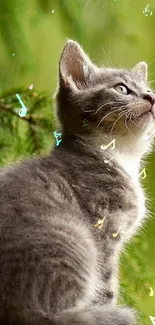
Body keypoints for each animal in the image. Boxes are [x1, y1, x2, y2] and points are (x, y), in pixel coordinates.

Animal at [0, 40, 154, 324]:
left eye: (149, 90)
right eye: (121, 88)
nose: (151, 98)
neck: (118, 155)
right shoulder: (104, 229)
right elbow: (106, 286)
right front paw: (109, 306)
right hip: (73, 239)